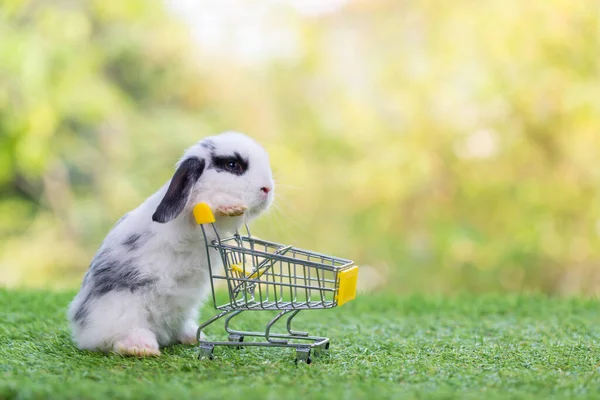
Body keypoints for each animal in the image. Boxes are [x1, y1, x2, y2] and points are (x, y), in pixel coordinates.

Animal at [69, 131, 276, 356]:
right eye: (232, 164)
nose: (267, 189)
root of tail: (82, 331)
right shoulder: (189, 221)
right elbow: (204, 201)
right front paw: (231, 206)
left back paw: (193, 337)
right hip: (122, 309)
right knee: (116, 336)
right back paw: (140, 347)